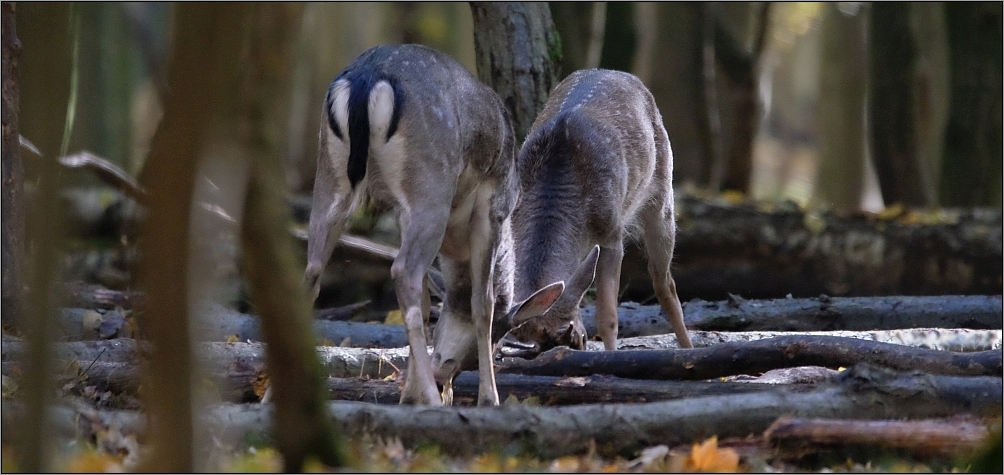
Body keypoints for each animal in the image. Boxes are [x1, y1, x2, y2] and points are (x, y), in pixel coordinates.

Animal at [305, 44, 558, 405]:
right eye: (499, 342)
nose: (444, 375)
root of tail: (367, 80)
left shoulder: (400, 212)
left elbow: (427, 304)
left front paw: (408, 395)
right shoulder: (493, 207)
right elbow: (483, 302)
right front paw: (489, 398)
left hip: (331, 174)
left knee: (312, 273)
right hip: (430, 184)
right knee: (403, 272)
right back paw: (432, 398)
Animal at [497, 67, 694, 359]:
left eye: (562, 327)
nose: (577, 341)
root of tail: (615, 71)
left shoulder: (612, 234)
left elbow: (608, 317)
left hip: (662, 194)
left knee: (664, 282)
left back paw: (688, 348)